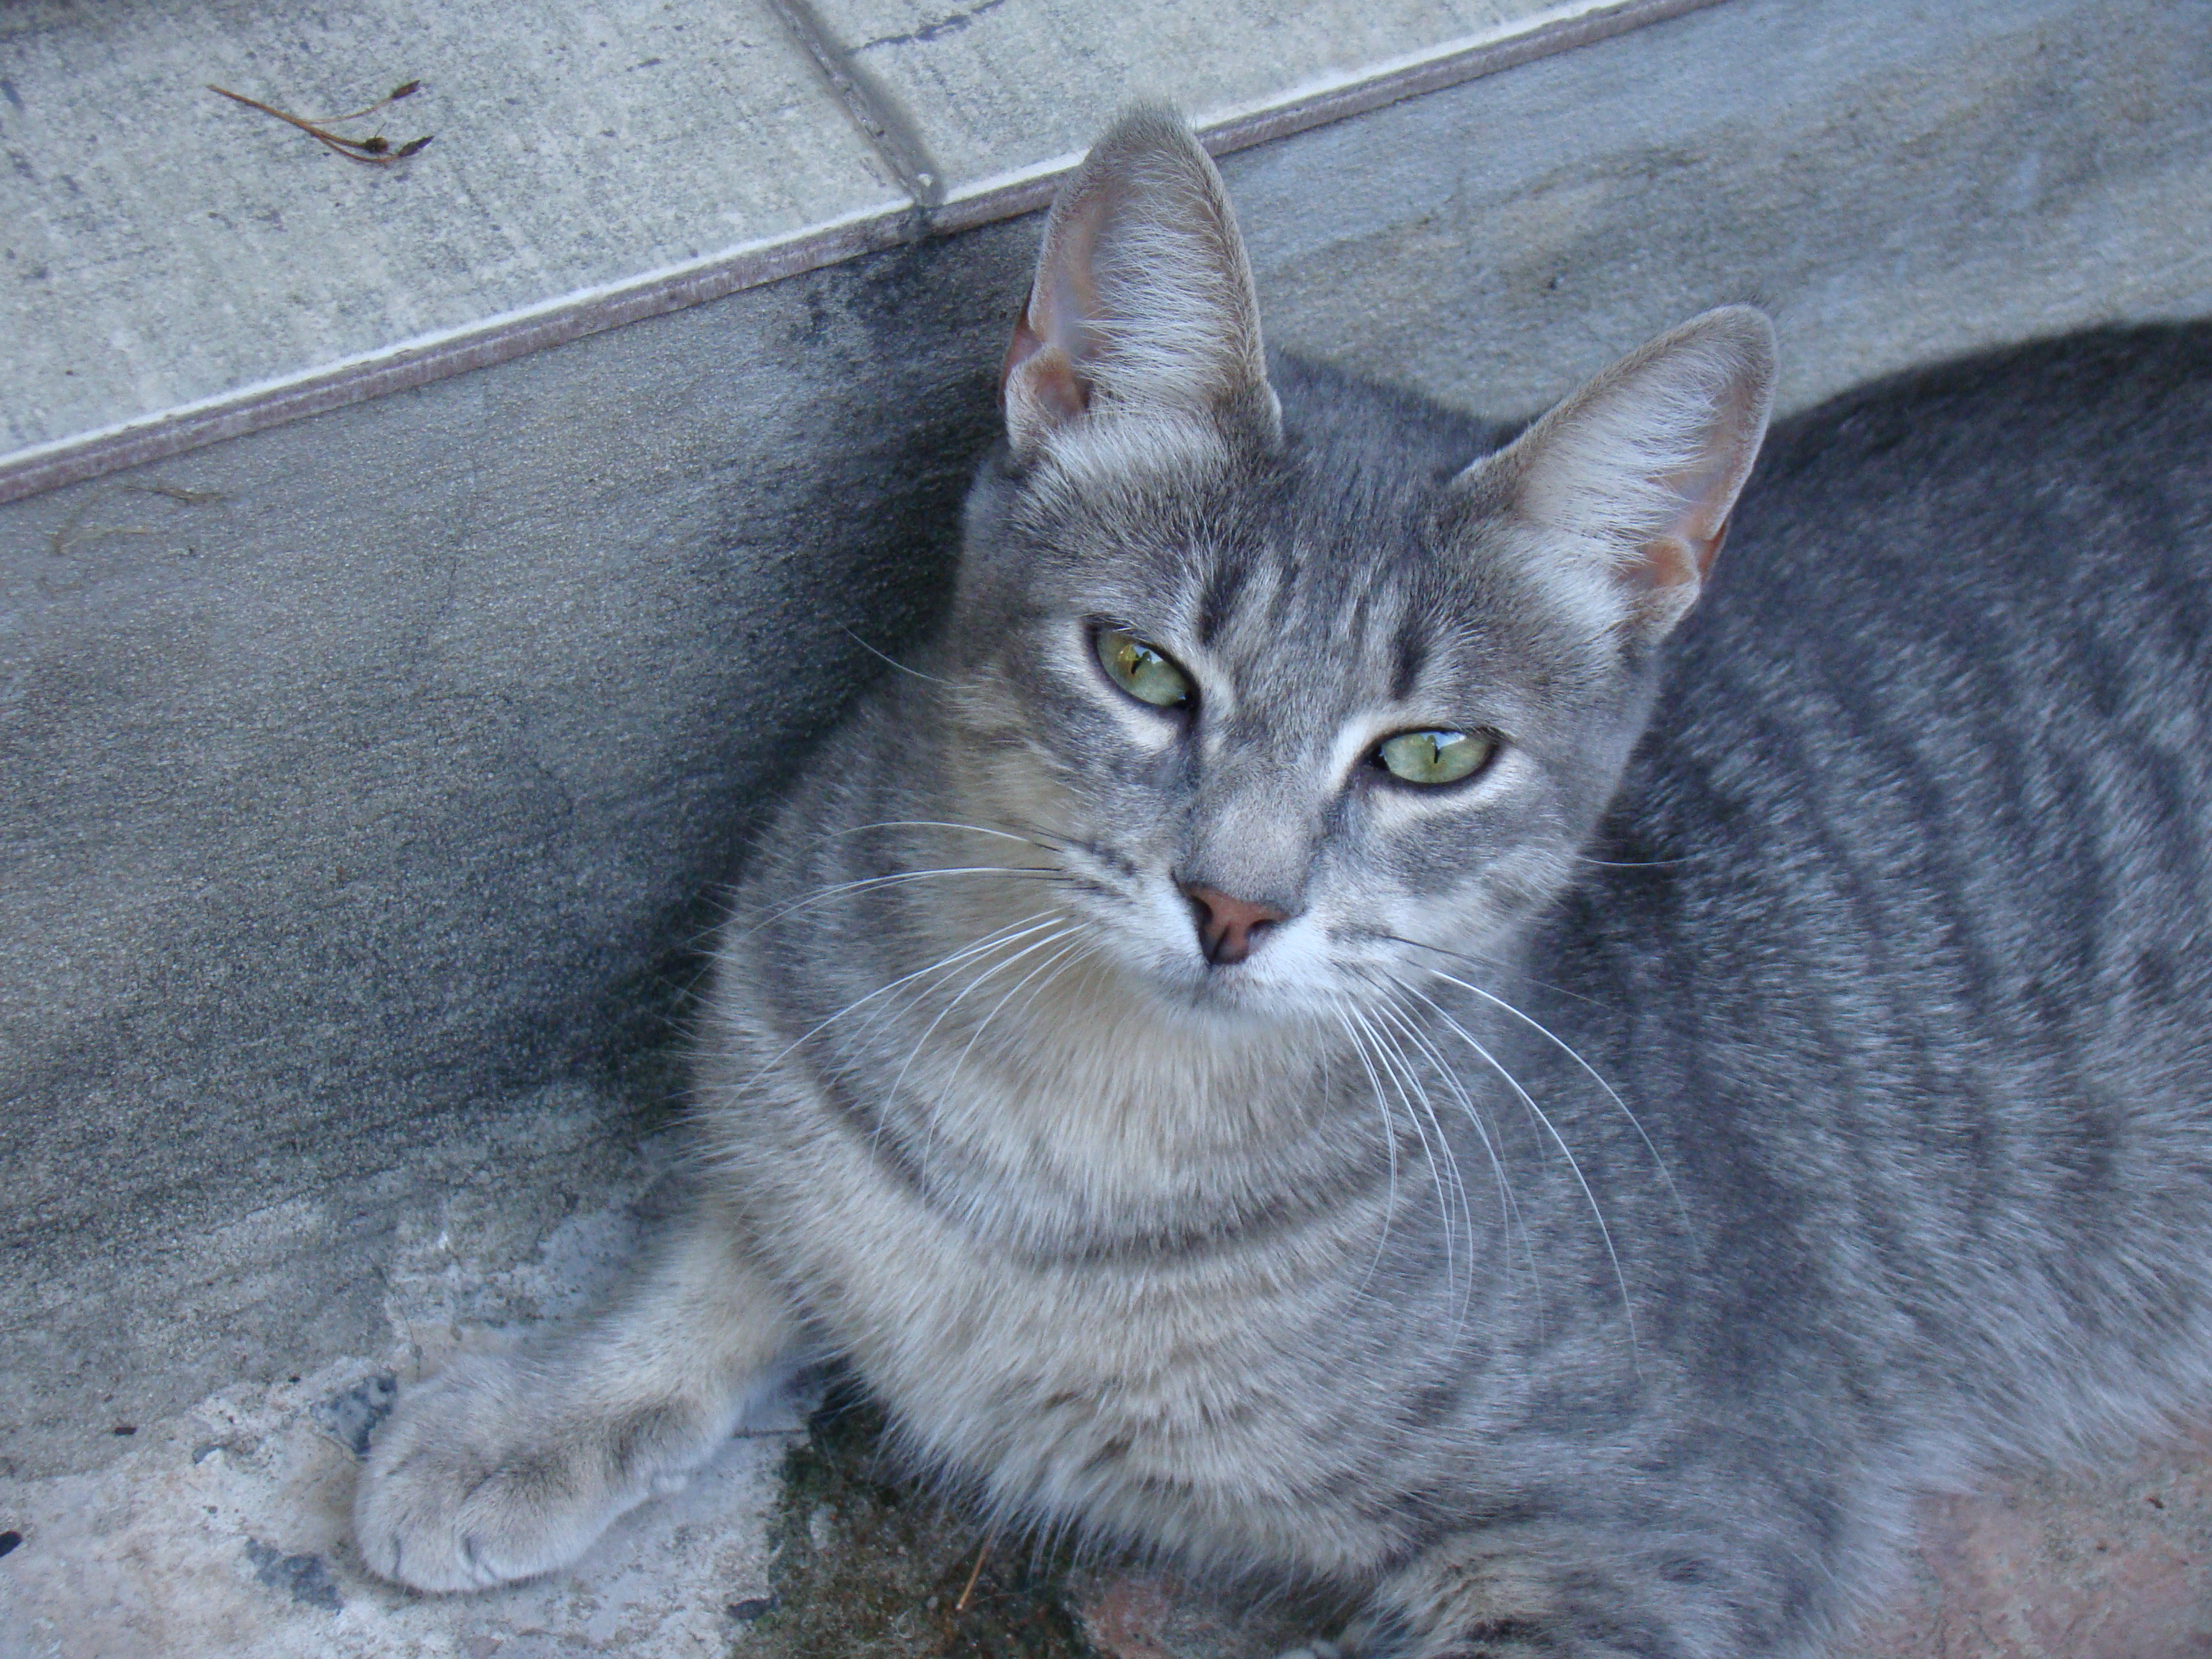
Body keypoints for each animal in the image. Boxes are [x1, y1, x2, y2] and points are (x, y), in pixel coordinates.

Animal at [353, 107, 2212, 1659]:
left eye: (1435, 756)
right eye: (1142, 670)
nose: (1236, 905)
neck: (1058, 1136)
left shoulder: (1670, 1529)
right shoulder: (794, 1087)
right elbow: (727, 1234)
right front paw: (536, 1409)